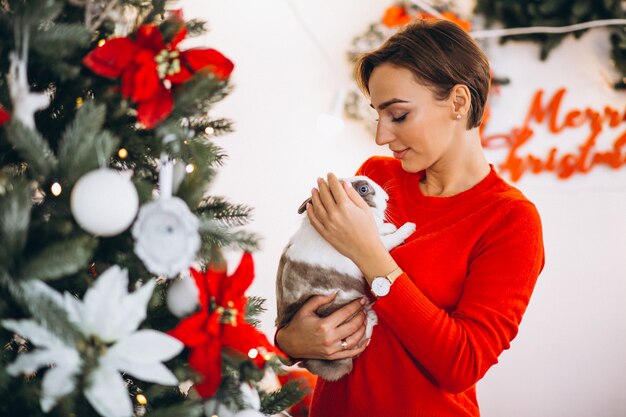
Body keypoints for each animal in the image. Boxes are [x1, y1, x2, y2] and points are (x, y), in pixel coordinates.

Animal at [274, 175, 414, 380]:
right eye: (363, 189)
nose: (387, 198)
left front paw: (389, 226)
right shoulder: (374, 245)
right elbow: (390, 240)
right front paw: (407, 227)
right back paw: (372, 317)